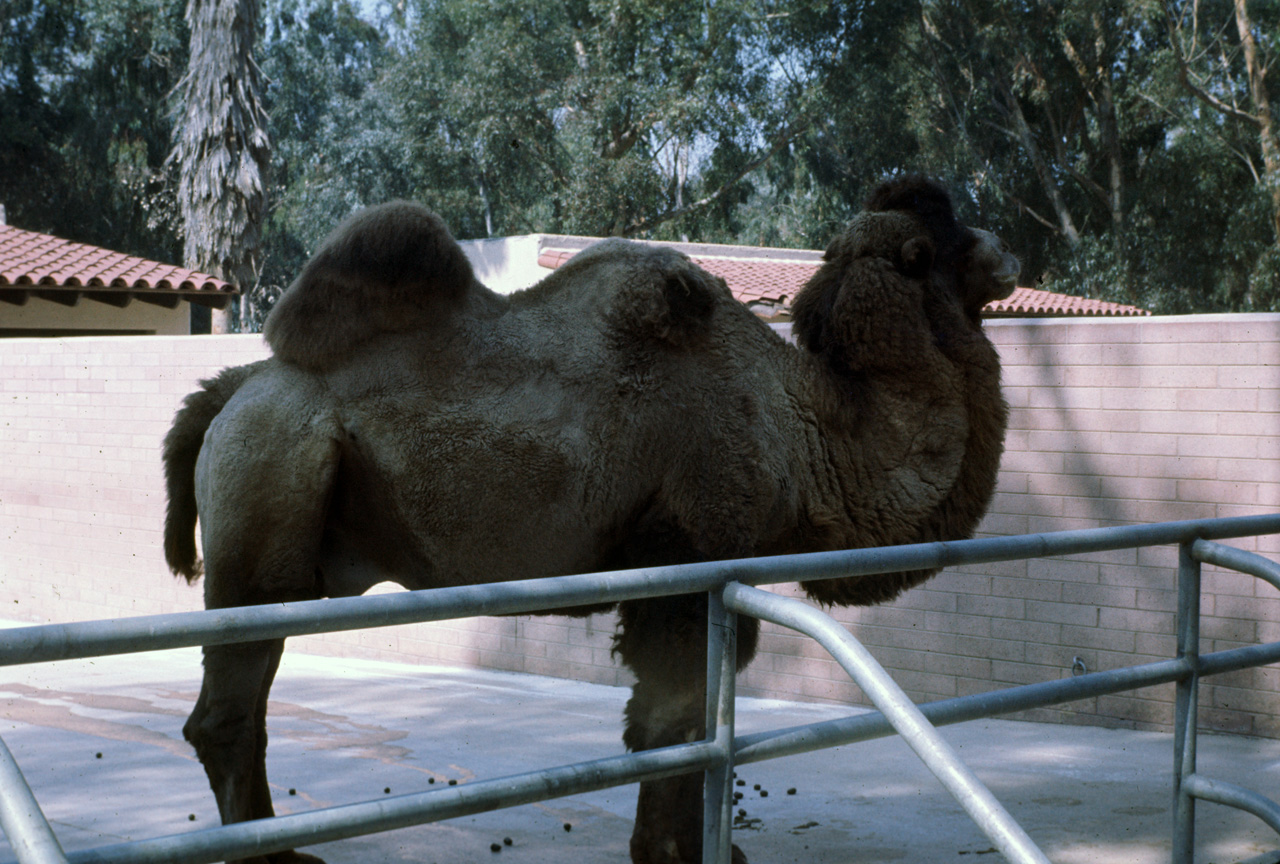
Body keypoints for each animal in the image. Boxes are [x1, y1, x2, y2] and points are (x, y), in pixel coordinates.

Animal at [162, 175, 1018, 864]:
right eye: (940, 239)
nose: (1008, 254)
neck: (802, 424)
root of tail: (230, 390)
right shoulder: (691, 555)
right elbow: (672, 723)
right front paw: (676, 852)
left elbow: (680, 723)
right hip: (270, 485)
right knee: (228, 712)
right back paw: (272, 857)